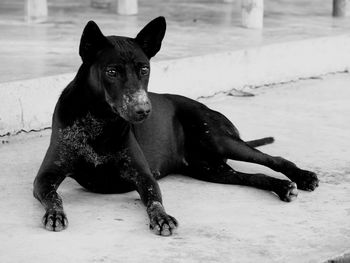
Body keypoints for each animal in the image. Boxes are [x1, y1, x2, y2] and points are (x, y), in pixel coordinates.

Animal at [34, 18, 318, 237]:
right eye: (112, 71)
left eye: (144, 69)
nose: (143, 110)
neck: (99, 120)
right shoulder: (45, 177)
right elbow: (54, 196)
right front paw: (55, 214)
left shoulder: (143, 176)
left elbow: (154, 199)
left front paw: (162, 217)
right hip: (211, 170)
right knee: (252, 176)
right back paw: (282, 187)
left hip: (218, 139)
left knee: (273, 158)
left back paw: (302, 177)